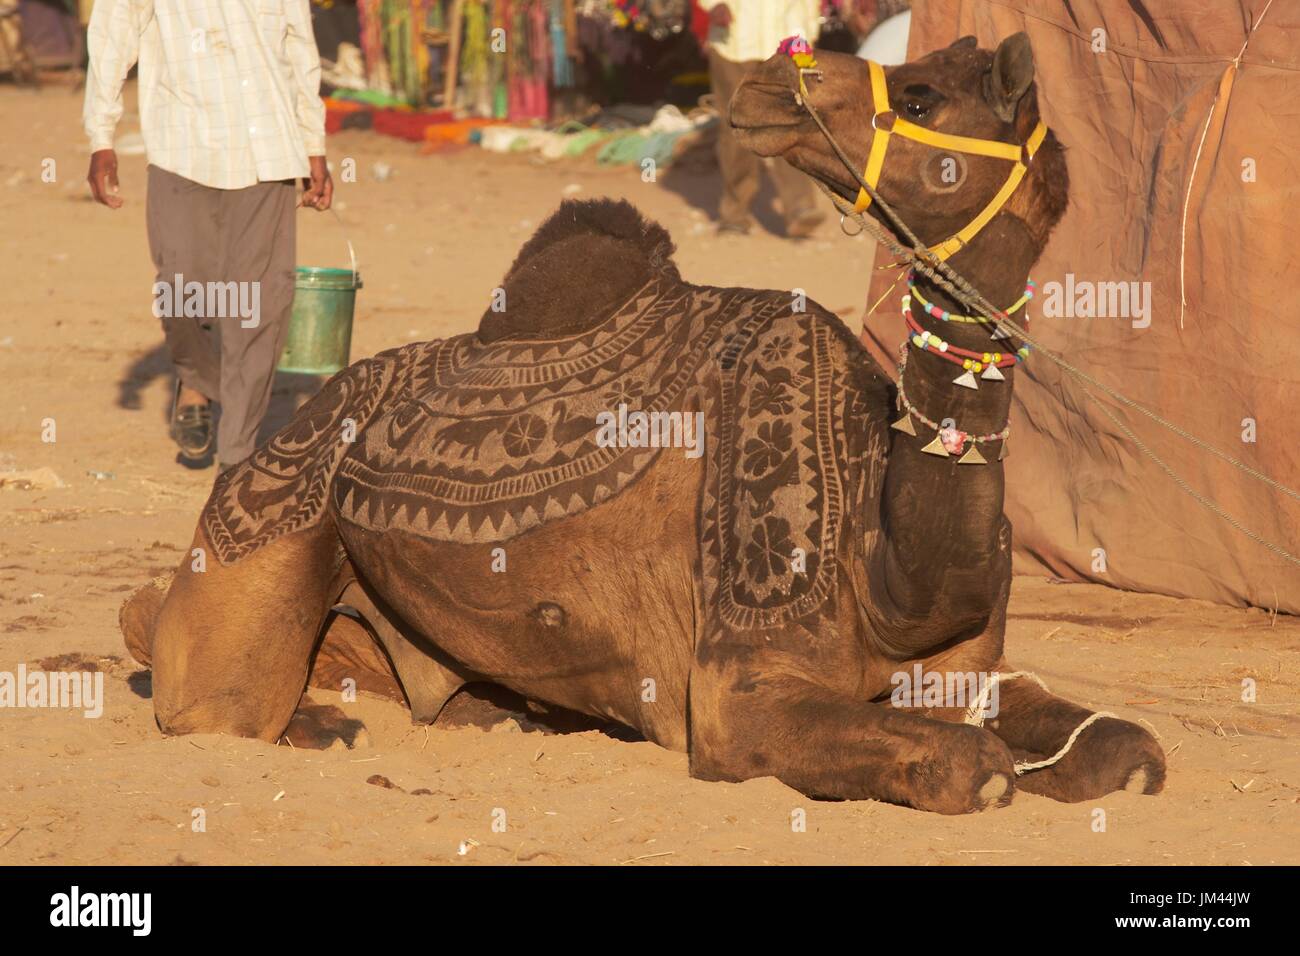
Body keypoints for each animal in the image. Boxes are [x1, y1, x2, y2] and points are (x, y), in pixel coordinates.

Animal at [124, 37, 1170, 816]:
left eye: (920, 91)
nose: (771, 81)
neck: (890, 573)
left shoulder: (967, 671)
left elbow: (1128, 750)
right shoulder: (740, 698)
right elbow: (972, 767)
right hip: (268, 527)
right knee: (206, 686)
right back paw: (322, 726)